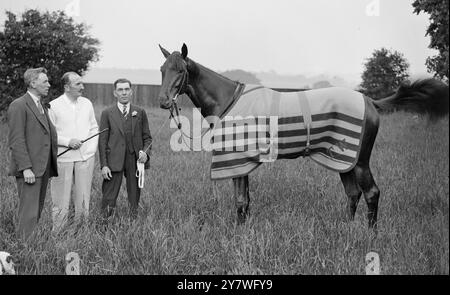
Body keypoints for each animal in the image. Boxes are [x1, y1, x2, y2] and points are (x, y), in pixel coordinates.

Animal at [156, 42, 448, 230]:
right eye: (161, 70)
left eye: (180, 70)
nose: (162, 101)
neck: (227, 99)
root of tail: (369, 101)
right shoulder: (242, 162)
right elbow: (245, 201)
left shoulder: (236, 160)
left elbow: (240, 201)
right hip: (343, 160)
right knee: (353, 193)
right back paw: (347, 229)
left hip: (361, 161)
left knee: (371, 193)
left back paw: (370, 234)